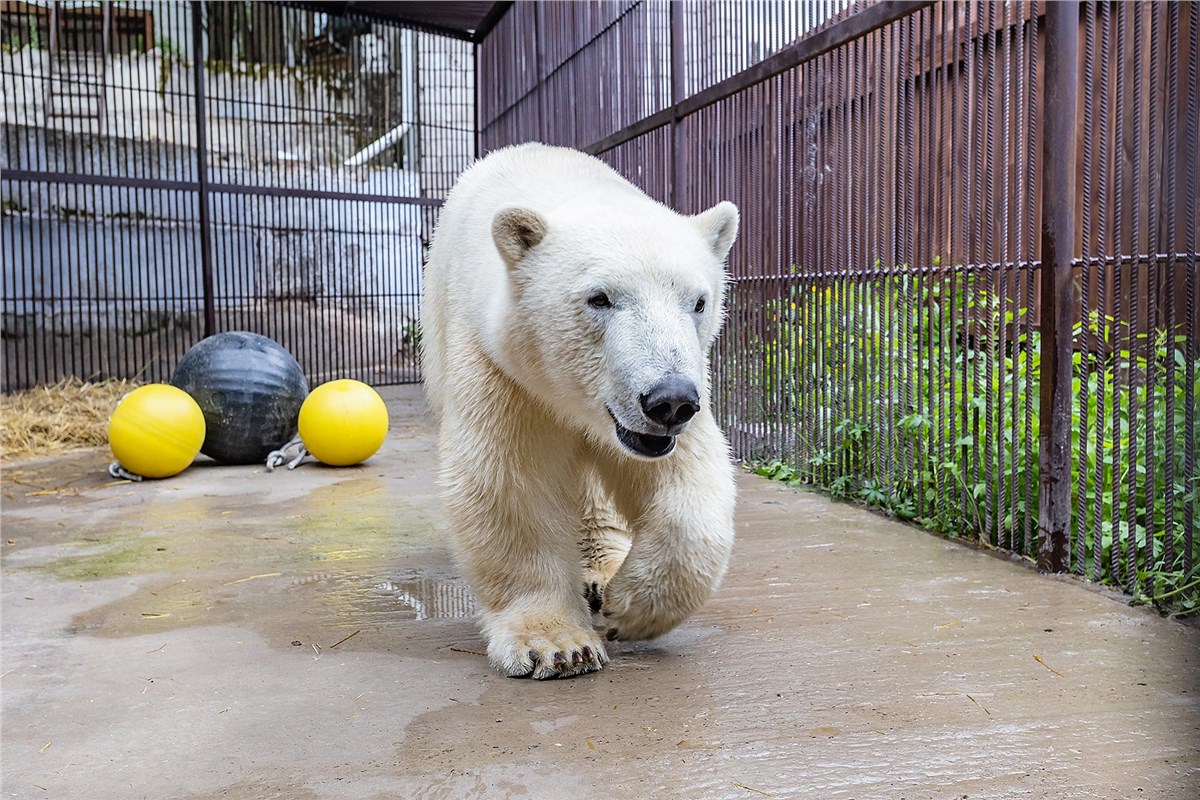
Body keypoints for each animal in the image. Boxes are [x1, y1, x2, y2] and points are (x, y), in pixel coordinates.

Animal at [422, 143, 739, 681]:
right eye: (600, 298)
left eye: (699, 301)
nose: (670, 401)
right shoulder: (498, 367)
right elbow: (508, 482)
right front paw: (557, 645)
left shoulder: (682, 393)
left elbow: (688, 483)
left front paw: (629, 608)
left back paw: (601, 573)